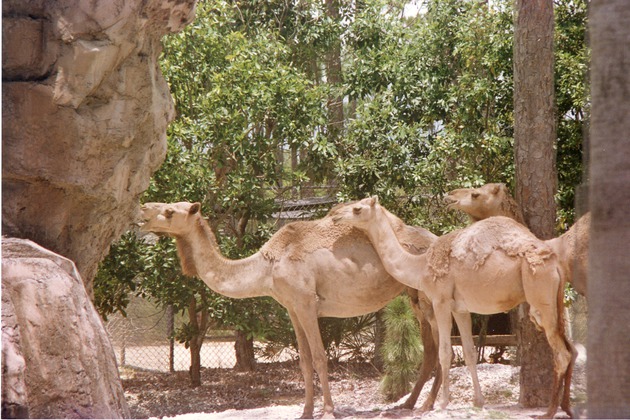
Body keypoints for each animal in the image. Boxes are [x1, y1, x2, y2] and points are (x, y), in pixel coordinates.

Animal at [140, 200, 442, 416]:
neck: (269, 265)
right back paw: (409, 404)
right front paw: (306, 412)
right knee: (430, 349)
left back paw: (428, 404)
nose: (143, 208)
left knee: (441, 344)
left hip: (428, 296)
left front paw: (328, 411)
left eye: (169, 211)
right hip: (414, 296)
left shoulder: (306, 302)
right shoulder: (292, 308)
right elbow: (304, 360)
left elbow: (319, 356)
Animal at [334, 198, 580, 420]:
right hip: (555, 300)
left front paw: (442, 404)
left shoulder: (440, 301)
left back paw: (548, 412)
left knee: (561, 353)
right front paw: (478, 402)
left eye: (357, 208)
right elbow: (470, 352)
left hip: (540, 295)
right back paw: (567, 408)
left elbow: (445, 352)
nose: (336, 214)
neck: (420, 266)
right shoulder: (460, 309)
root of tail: (556, 264)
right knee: (571, 348)